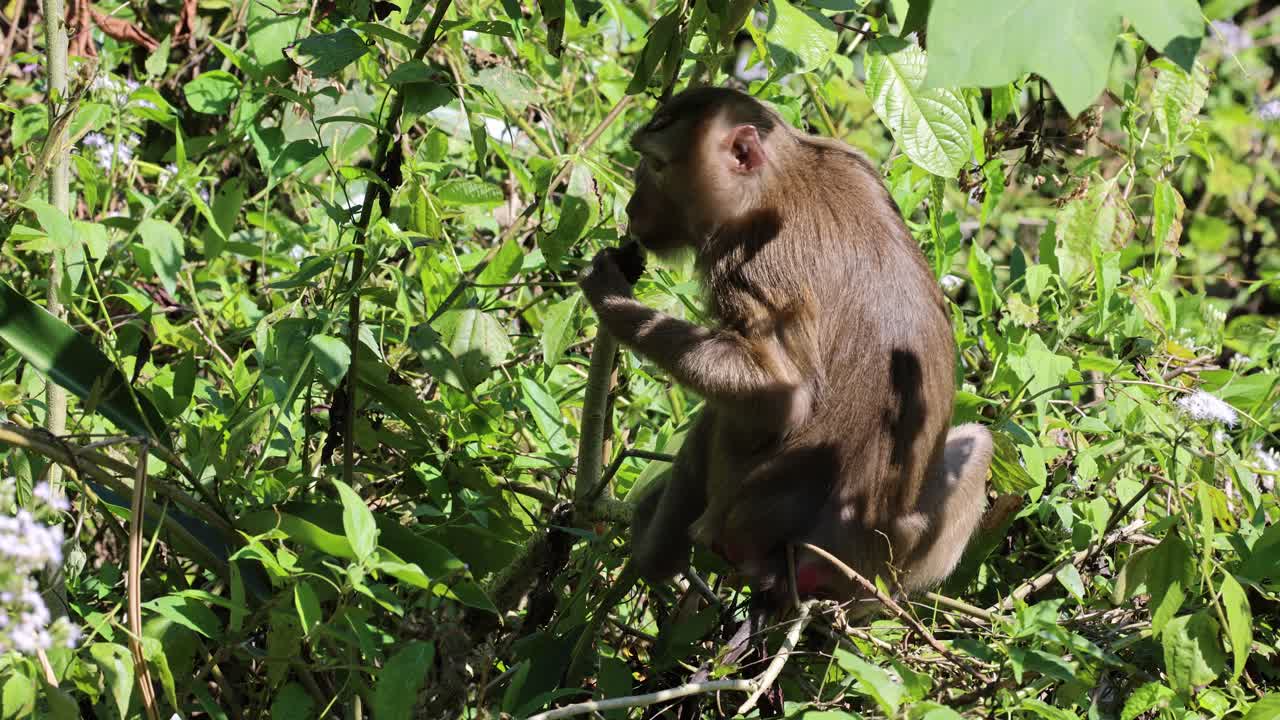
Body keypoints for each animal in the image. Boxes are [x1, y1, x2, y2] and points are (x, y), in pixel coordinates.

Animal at [578, 86, 993, 607]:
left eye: (655, 165)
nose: (633, 207)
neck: (779, 174)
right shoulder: (854, 161)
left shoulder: (746, 259)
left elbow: (782, 394)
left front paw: (611, 299)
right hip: (893, 561)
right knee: (979, 443)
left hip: (738, 523)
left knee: (725, 417)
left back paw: (657, 554)